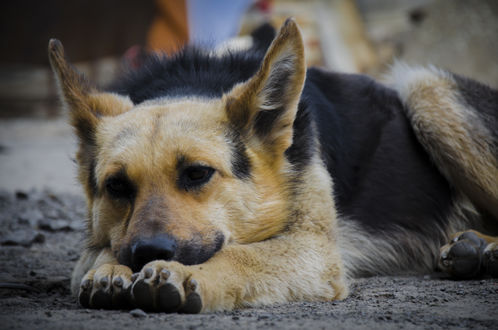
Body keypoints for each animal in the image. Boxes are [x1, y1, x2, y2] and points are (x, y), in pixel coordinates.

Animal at [47, 19, 498, 314]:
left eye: (198, 173)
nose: (148, 253)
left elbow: (241, 255)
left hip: (425, 89)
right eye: (117, 186)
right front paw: (109, 271)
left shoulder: (312, 249)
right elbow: (98, 253)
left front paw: (184, 275)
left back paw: (485, 249)